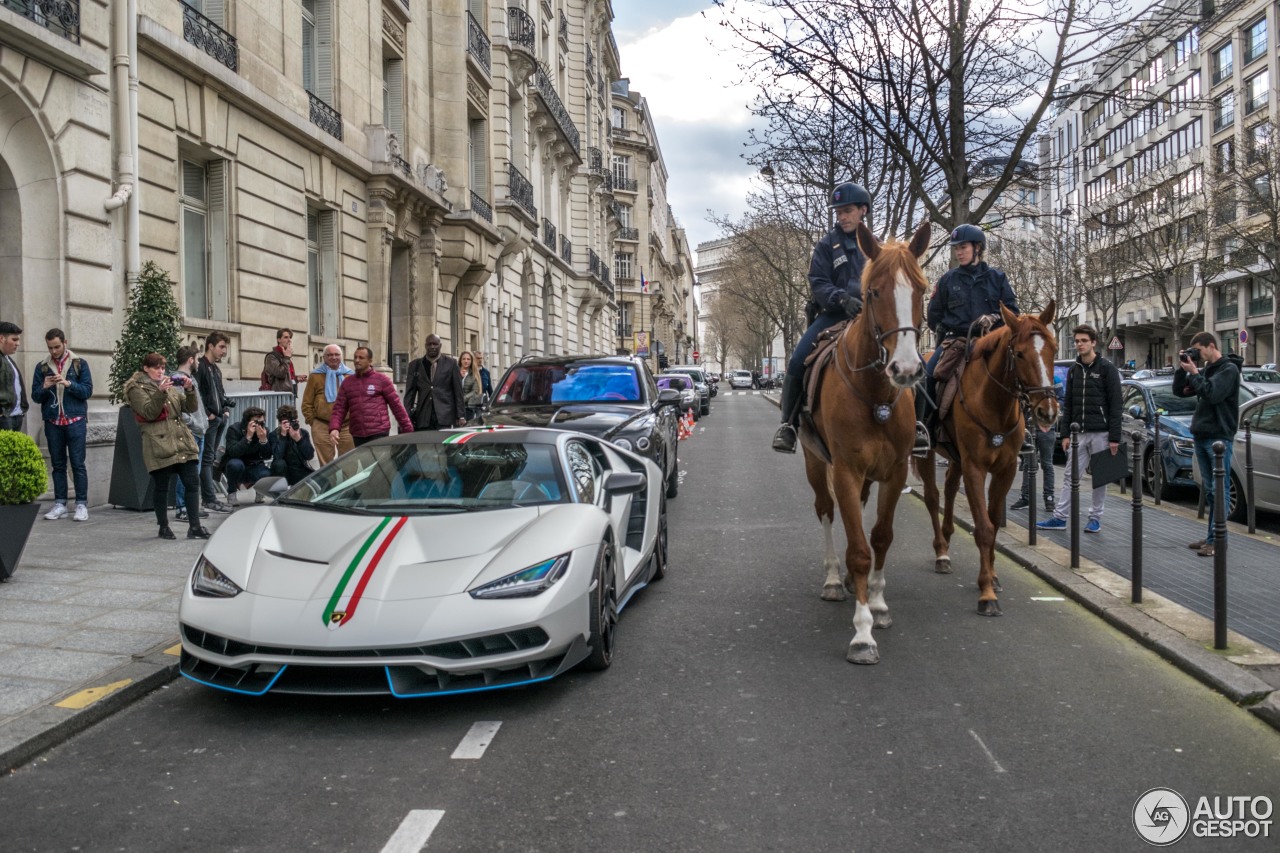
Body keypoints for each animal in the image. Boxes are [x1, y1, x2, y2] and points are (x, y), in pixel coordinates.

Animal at [798, 219, 931, 666]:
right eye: (873, 292)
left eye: (923, 290)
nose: (906, 369)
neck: (876, 396)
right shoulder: (846, 470)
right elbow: (857, 549)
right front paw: (862, 633)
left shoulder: (893, 473)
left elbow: (880, 537)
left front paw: (877, 603)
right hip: (816, 463)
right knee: (826, 510)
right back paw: (832, 580)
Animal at [916, 302, 1064, 614]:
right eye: (1019, 353)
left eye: (1054, 349)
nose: (1047, 412)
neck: (996, 404)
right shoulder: (975, 467)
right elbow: (983, 527)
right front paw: (986, 594)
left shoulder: (1005, 469)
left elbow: (994, 523)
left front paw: (993, 577)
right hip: (928, 453)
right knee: (933, 496)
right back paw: (941, 552)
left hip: (955, 457)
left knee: (949, 487)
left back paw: (948, 535)